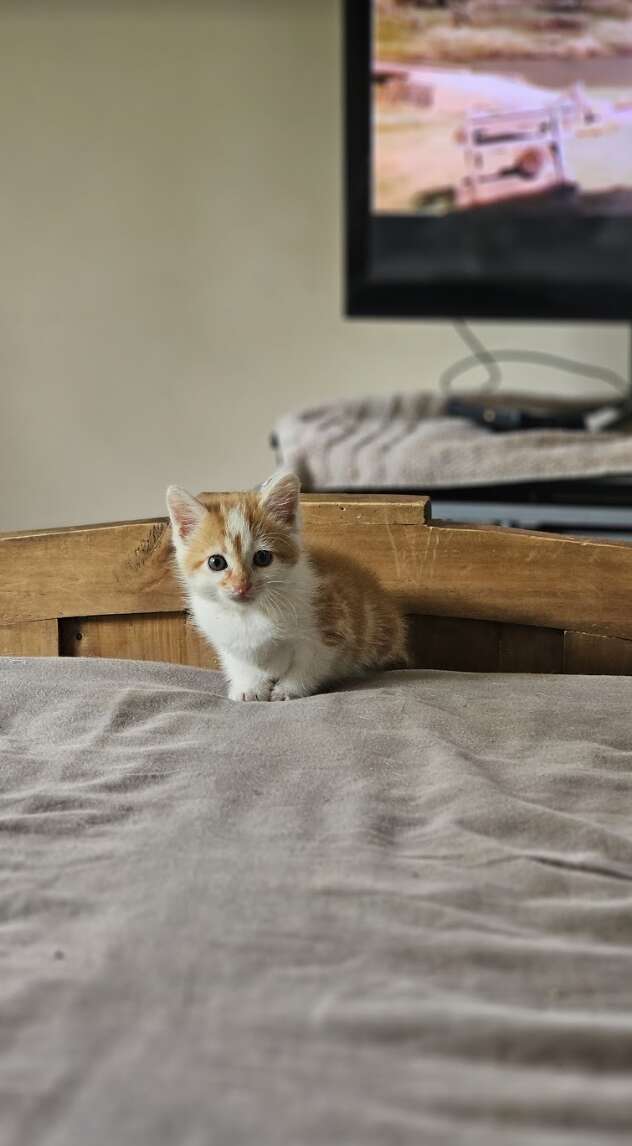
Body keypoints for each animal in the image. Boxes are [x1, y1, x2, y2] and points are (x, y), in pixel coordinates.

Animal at [165, 469, 408, 701]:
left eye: (263, 558)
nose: (242, 585)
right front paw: (248, 687)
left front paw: (288, 689)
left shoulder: (332, 628)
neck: (249, 614)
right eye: (216, 562)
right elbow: (239, 663)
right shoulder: (224, 638)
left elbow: (309, 665)